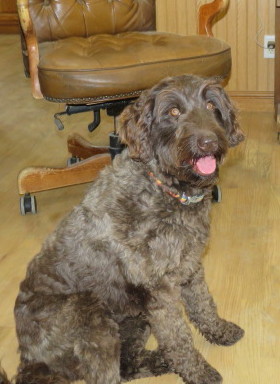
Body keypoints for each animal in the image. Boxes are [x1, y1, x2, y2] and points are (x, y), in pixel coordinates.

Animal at [0, 75, 245, 384]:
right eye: (173, 112)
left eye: (212, 105)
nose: (208, 141)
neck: (162, 187)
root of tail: (29, 363)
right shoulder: (160, 290)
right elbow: (178, 338)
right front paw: (197, 372)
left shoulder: (190, 266)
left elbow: (204, 305)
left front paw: (220, 331)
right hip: (93, 317)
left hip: (134, 318)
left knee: (127, 365)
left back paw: (161, 361)